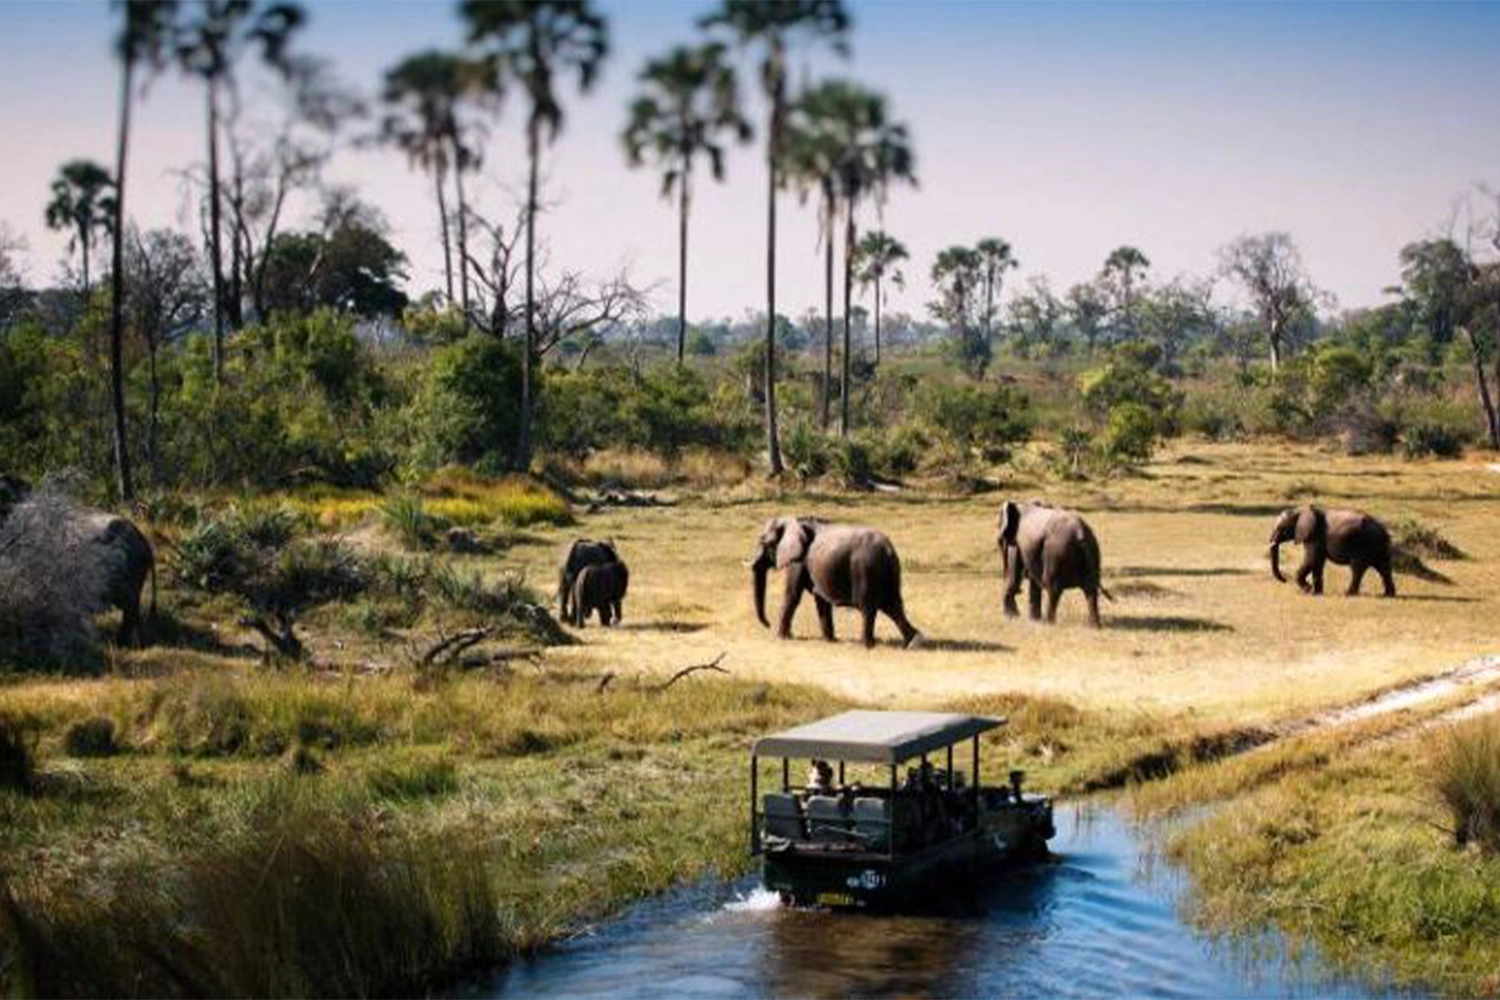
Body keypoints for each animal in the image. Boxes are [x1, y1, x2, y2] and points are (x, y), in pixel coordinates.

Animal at [747, 515, 918, 650]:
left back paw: (864, 645)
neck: (795, 520)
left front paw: (781, 637)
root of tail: (889, 550)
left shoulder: (798, 560)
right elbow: (820, 598)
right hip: (888, 574)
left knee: (869, 608)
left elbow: (792, 595)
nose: (768, 624)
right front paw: (829, 641)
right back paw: (912, 642)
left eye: (765, 543)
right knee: (893, 607)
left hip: (866, 570)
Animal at [1002, 497, 1110, 626]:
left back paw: (1048, 623)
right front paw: (1030, 620)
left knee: (1053, 588)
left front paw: (1012, 617)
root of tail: (1080, 532)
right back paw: (1094, 626)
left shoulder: (1016, 544)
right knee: (1090, 590)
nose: (1020, 591)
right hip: (1093, 552)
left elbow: (1015, 576)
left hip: (1056, 553)